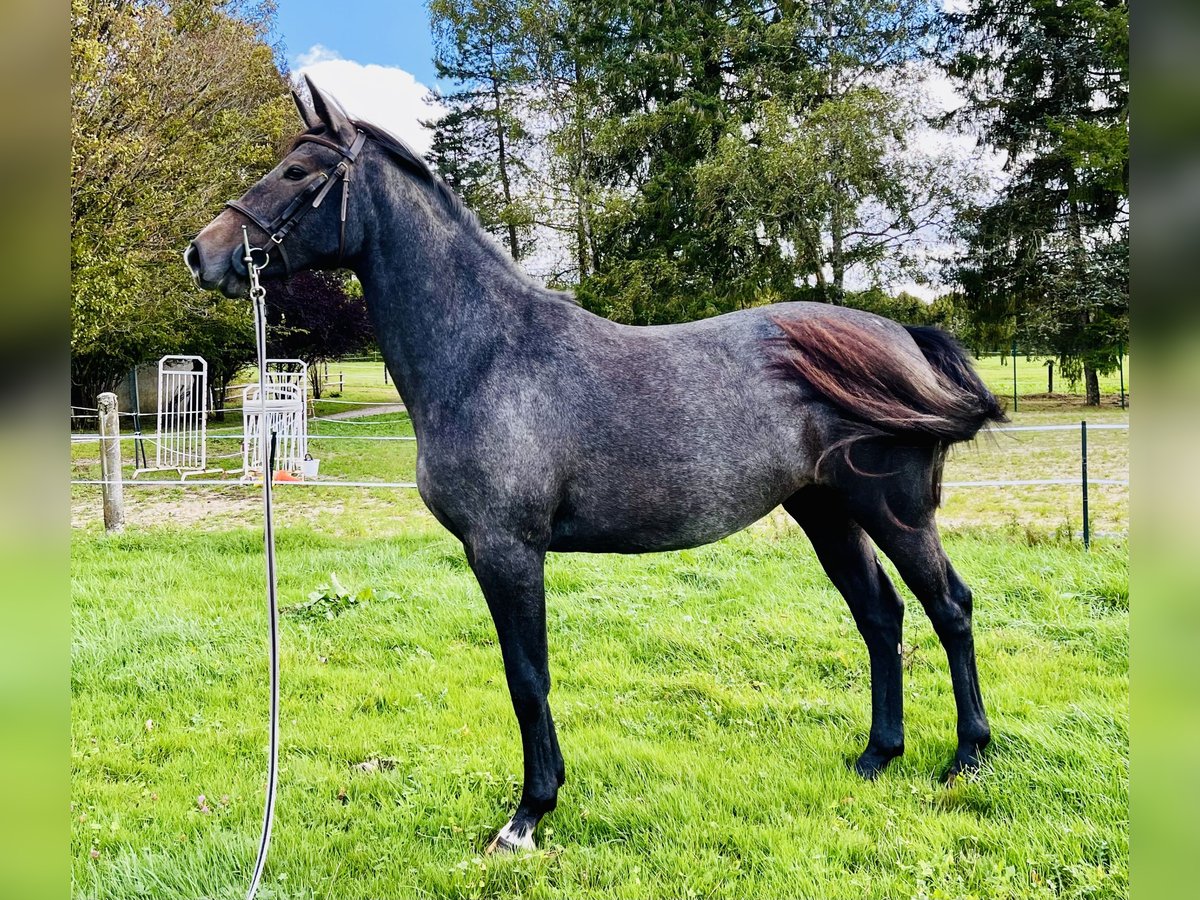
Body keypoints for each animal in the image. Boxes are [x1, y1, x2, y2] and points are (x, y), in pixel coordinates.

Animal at [187, 75, 1008, 854]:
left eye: (296, 171)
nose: (205, 252)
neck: (487, 354)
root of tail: (902, 337)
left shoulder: (507, 551)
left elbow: (527, 678)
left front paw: (528, 815)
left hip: (895, 513)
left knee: (949, 608)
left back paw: (968, 757)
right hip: (827, 513)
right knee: (880, 615)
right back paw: (878, 755)